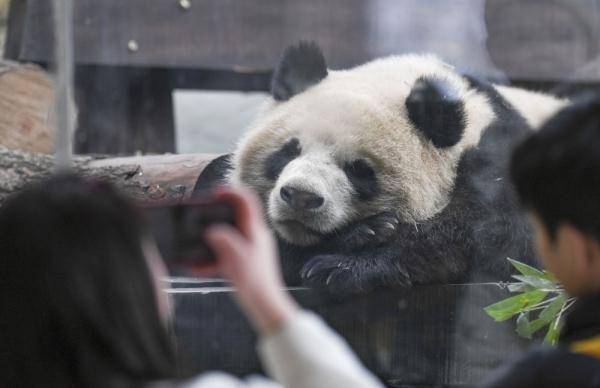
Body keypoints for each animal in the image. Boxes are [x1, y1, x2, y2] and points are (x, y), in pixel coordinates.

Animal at [195, 41, 568, 294]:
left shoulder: (499, 151)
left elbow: (497, 233)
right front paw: (361, 233)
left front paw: (345, 264)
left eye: (359, 170)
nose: (301, 196)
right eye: (288, 151)